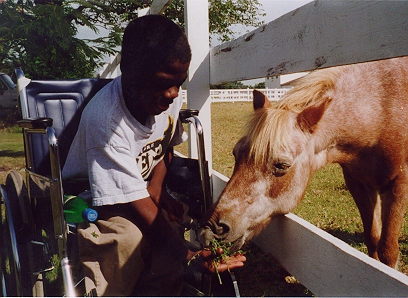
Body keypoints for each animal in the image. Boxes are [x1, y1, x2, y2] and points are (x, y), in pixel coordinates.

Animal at [199, 56, 408, 268]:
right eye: (235, 153)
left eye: (281, 165)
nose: (211, 228)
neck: (380, 110)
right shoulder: (359, 184)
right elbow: (372, 239)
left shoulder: (398, 186)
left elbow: (388, 251)